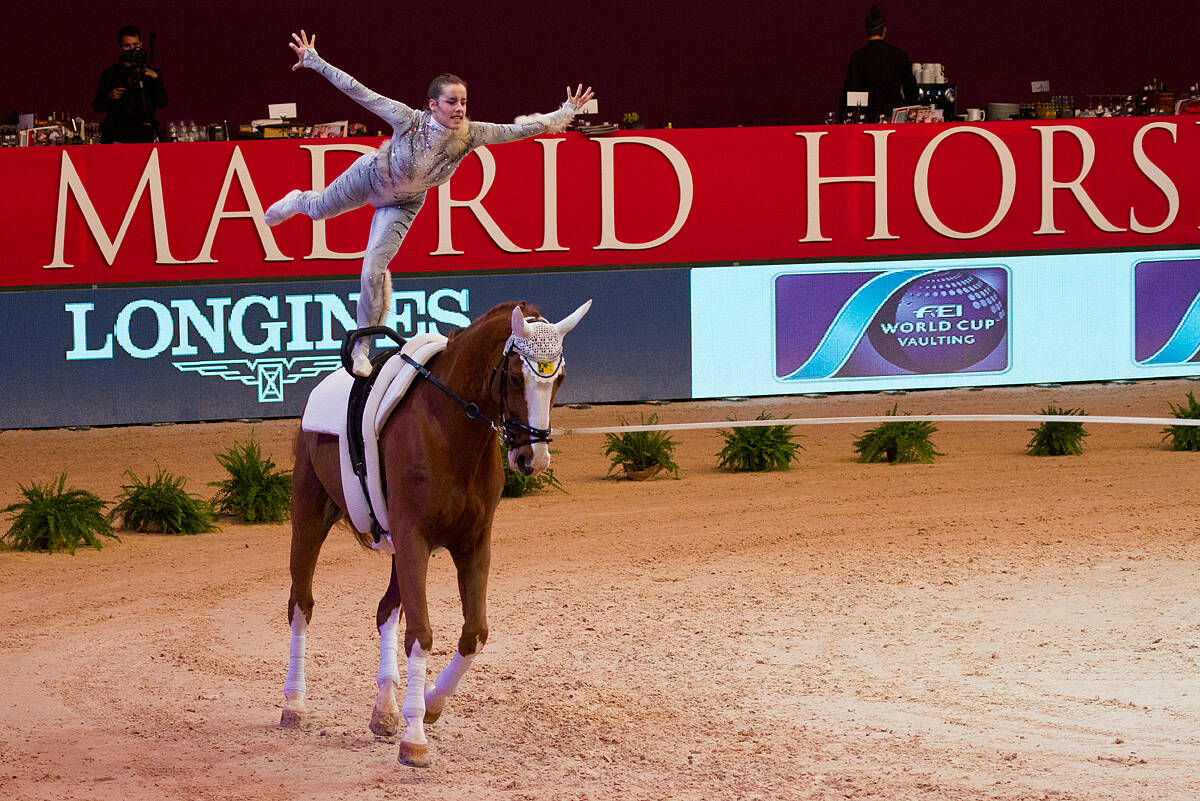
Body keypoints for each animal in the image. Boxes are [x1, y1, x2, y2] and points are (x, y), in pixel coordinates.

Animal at [280, 299, 591, 767]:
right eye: (514, 377)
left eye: (559, 378)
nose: (531, 459)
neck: (450, 429)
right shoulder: (414, 540)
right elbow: (421, 635)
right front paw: (414, 738)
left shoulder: (473, 544)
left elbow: (474, 634)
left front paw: (429, 705)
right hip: (311, 515)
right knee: (302, 605)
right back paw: (295, 704)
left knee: (385, 611)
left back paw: (384, 711)